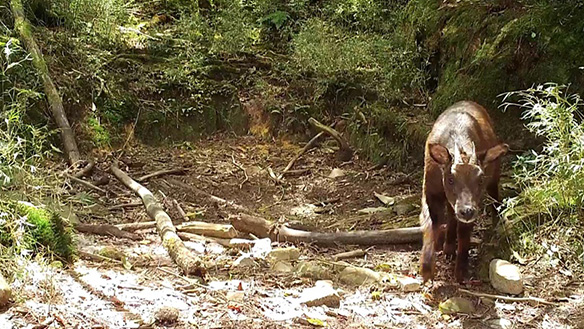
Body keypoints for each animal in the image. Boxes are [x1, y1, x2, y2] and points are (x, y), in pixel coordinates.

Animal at [420, 100, 506, 282]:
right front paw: (426, 269)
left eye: (480, 179)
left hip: (495, 174)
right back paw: (448, 248)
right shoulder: (430, 191)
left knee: (495, 196)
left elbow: (464, 234)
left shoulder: (475, 201)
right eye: (450, 179)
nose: (467, 211)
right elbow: (431, 223)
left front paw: (460, 272)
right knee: (451, 214)